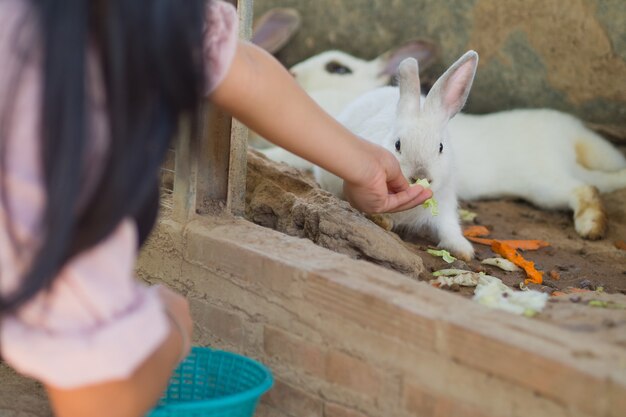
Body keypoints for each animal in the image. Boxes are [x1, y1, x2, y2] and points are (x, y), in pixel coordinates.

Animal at [314, 51, 480, 260]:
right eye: (397, 144)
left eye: (441, 147)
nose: (420, 177)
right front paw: (382, 220)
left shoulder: (445, 202)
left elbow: (448, 226)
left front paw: (462, 250)